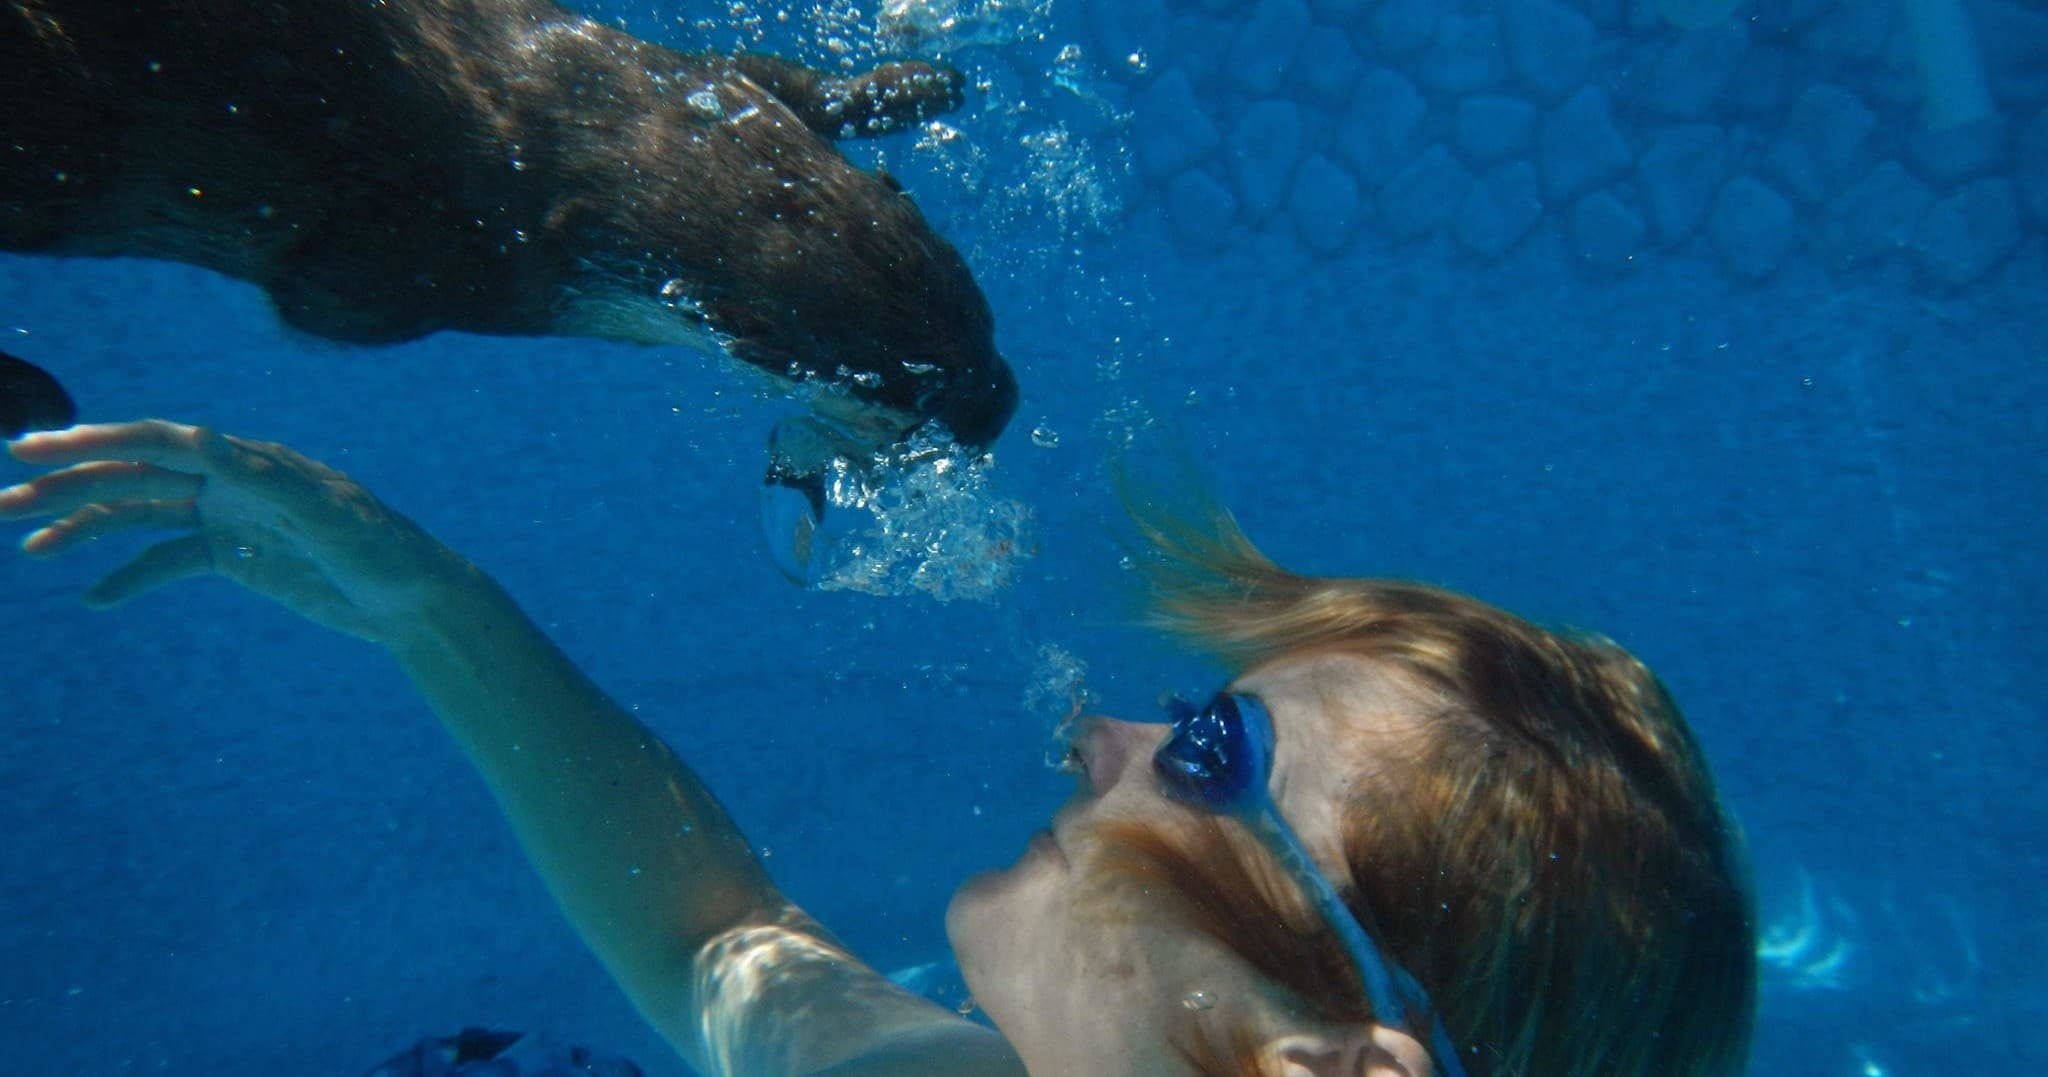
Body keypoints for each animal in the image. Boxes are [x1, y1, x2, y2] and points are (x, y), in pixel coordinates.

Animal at [0, 0, 1016, 467]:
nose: (1001, 404)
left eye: (981, 317)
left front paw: (923, 80)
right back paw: (35, 395)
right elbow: (325, 298)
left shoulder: (686, 73)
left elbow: (783, 76)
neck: (571, 124)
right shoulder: (438, 270)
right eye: (901, 386)